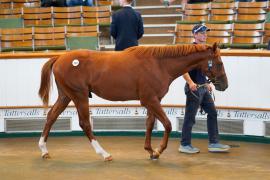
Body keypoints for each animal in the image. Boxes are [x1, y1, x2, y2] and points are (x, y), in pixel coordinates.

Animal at [38, 43, 228, 161]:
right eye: (219, 63)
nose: (224, 85)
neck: (159, 64)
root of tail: (60, 58)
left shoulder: (154, 100)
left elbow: (150, 124)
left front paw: (150, 151)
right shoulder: (149, 100)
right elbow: (167, 124)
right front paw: (158, 150)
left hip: (66, 96)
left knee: (51, 116)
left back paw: (44, 150)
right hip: (79, 96)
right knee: (84, 123)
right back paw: (104, 153)